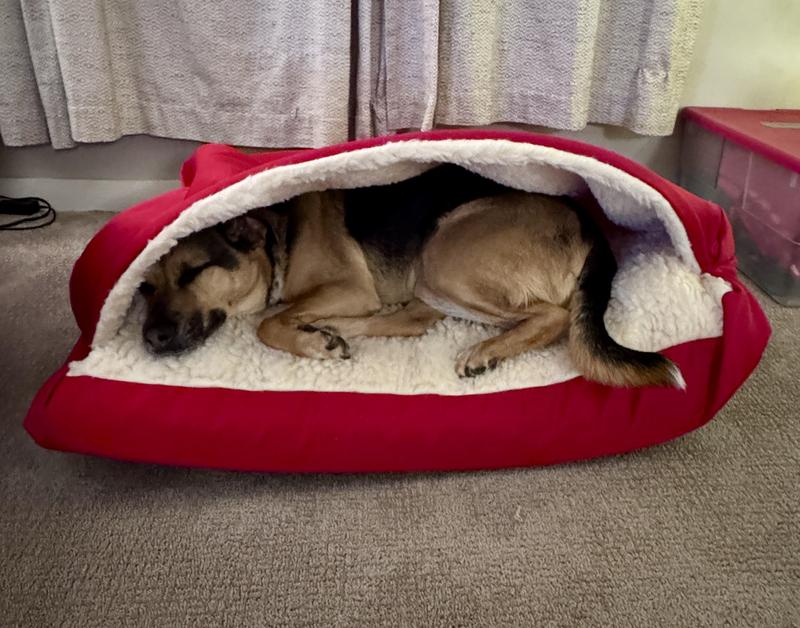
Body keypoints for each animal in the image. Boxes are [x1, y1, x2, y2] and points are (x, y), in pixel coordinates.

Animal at [139, 165, 681, 387]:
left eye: (195, 271)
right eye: (145, 288)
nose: (151, 338)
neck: (278, 235)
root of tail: (590, 222)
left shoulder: (348, 287)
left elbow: (266, 323)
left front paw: (308, 340)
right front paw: (318, 336)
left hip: (443, 257)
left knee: (552, 317)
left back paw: (484, 352)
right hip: (431, 277)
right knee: (409, 319)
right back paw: (333, 330)